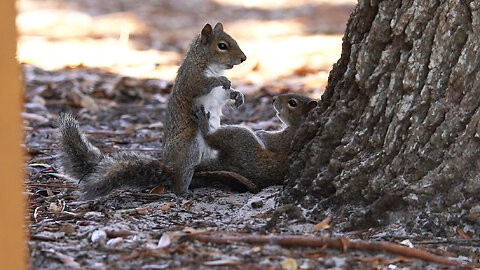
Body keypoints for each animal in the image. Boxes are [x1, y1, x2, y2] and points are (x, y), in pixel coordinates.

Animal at [59, 22, 248, 198]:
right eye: (222, 46)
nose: (244, 58)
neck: (212, 66)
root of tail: (169, 168)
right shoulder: (190, 79)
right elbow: (199, 86)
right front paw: (221, 80)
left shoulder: (218, 94)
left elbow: (226, 95)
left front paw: (238, 95)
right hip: (190, 147)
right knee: (179, 180)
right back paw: (184, 192)